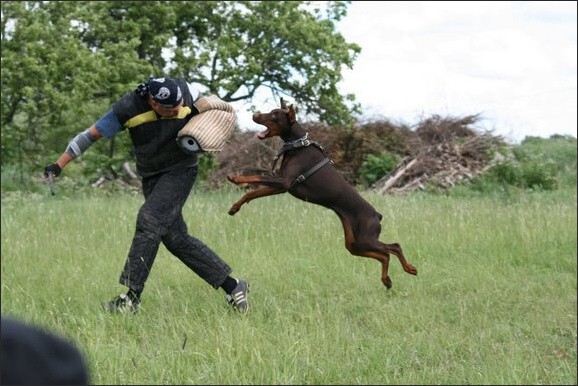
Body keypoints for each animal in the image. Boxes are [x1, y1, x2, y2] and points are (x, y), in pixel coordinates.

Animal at [227, 98, 416, 288]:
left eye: (274, 115)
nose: (254, 115)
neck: (298, 145)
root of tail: (377, 215)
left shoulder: (284, 182)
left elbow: (255, 176)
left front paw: (235, 177)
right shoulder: (281, 186)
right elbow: (251, 194)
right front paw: (235, 208)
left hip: (366, 237)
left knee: (394, 247)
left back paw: (408, 269)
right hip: (354, 243)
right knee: (384, 255)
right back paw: (387, 280)